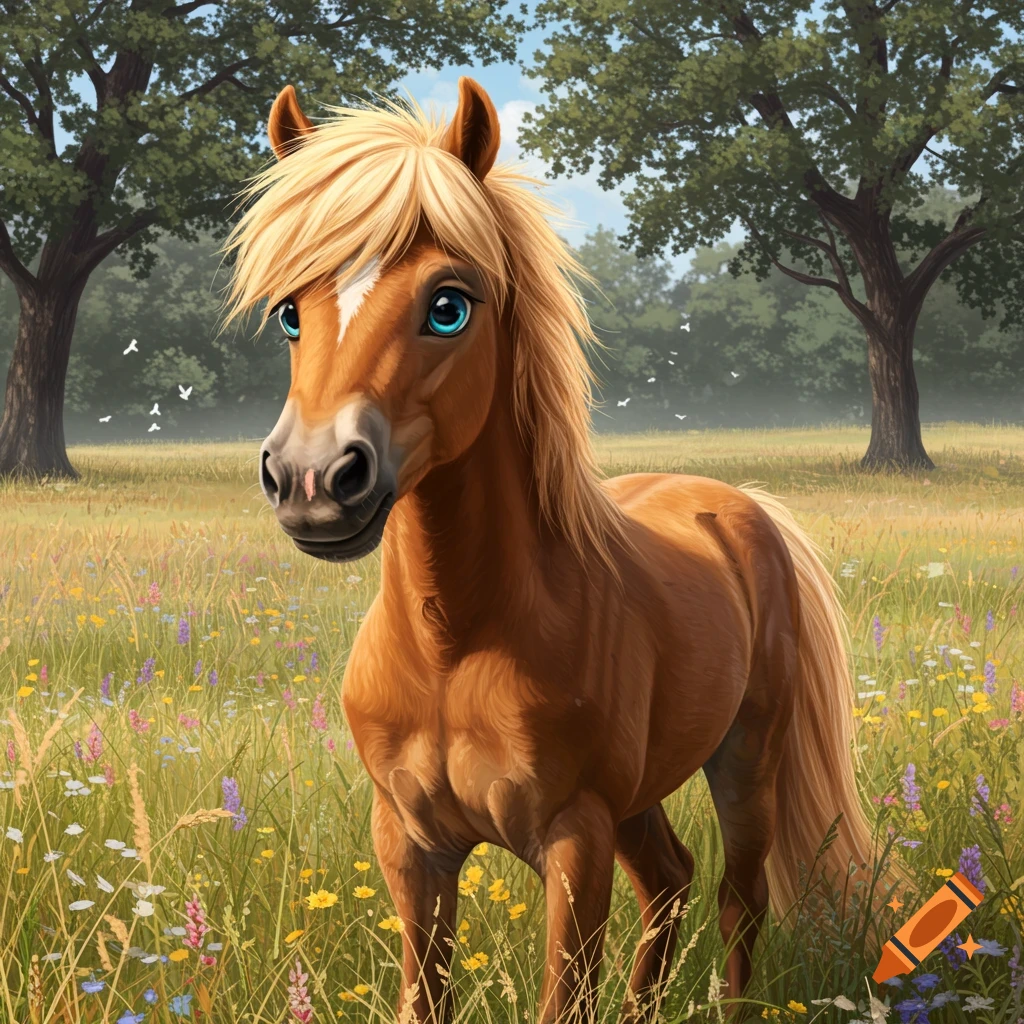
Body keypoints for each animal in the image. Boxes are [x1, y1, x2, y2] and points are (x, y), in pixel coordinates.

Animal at [222, 77, 893, 1024]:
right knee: (670, 882)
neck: (456, 644)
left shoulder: (575, 840)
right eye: (288, 311)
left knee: (738, 897)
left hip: (745, 758)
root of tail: (740, 505)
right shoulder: (410, 847)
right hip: (641, 797)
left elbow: (566, 996)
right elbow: (425, 995)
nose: (312, 478)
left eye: (448, 305)